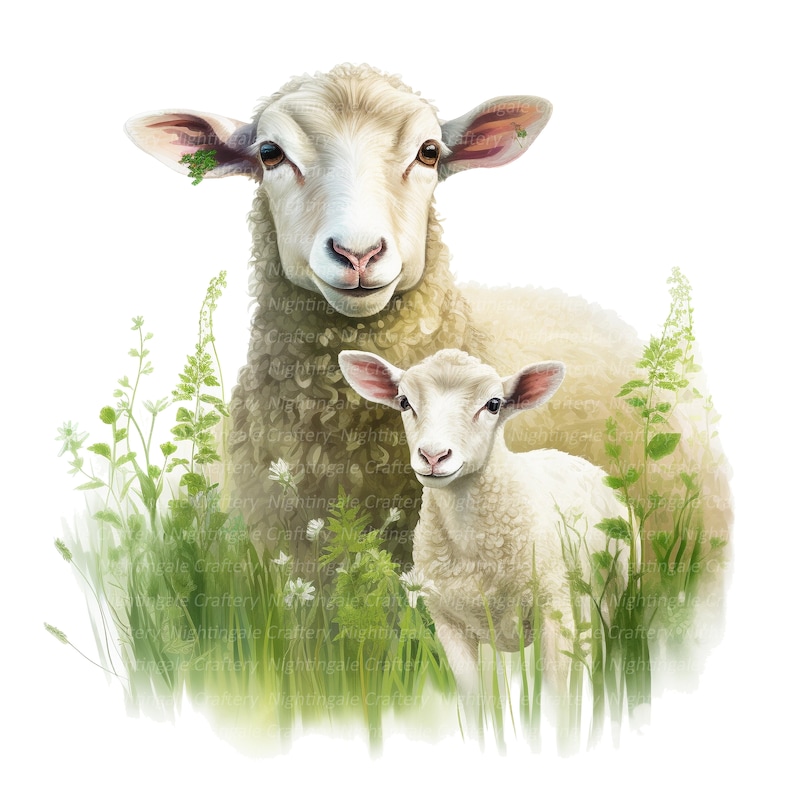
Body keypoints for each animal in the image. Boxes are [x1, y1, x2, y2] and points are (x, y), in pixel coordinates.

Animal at [338, 347, 628, 730]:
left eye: (493, 404)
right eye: (404, 402)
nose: (433, 456)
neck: (471, 551)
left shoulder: (555, 610)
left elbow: (559, 699)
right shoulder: (449, 623)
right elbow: (475, 702)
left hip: (606, 601)